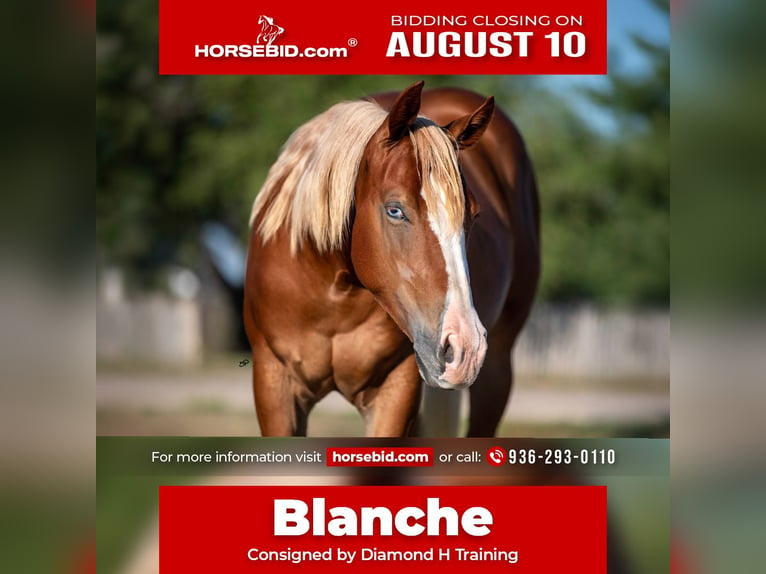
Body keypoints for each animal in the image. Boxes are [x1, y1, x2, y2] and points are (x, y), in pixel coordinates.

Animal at [244, 81, 539, 437]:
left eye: (474, 215)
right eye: (395, 210)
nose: (465, 347)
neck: (332, 290)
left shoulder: (396, 389)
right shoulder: (275, 384)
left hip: (496, 368)